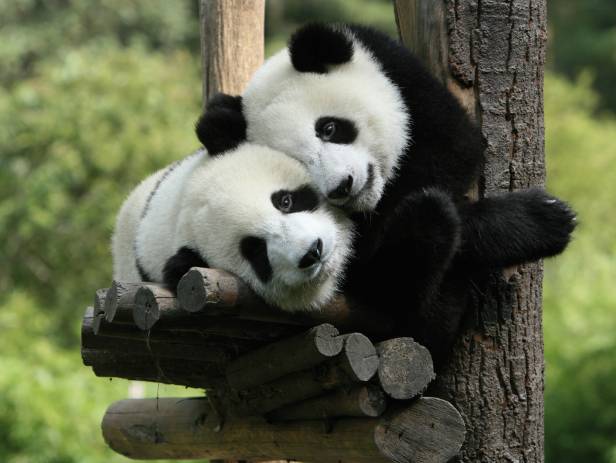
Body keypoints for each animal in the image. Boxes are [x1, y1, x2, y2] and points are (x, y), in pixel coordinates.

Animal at [197, 23, 576, 364]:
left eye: (329, 128)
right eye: (300, 163)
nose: (342, 186)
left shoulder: (404, 80)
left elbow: (456, 149)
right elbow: (372, 258)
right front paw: (542, 220)